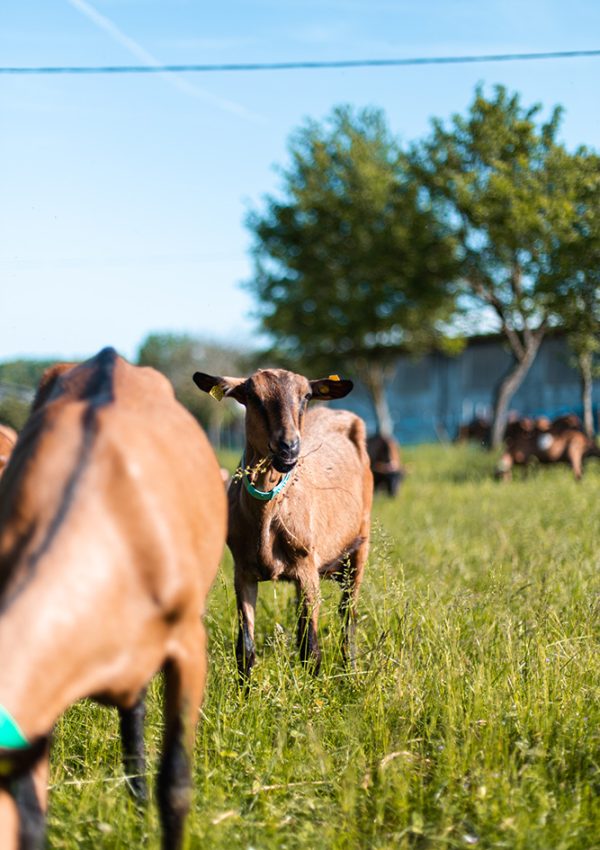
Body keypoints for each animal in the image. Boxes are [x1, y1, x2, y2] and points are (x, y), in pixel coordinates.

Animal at [192, 364, 372, 676]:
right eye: (252, 396)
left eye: (307, 396)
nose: (288, 447)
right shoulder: (243, 571)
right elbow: (245, 649)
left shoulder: (307, 567)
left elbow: (310, 648)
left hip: (360, 545)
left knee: (348, 615)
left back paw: (350, 669)